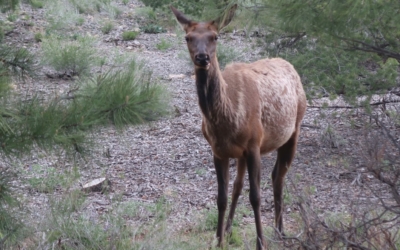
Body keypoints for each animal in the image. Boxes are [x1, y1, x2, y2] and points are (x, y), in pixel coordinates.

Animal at [172, 4, 306, 250]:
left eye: (215, 36)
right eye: (188, 37)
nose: (202, 57)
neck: (226, 121)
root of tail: (289, 65)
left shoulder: (254, 145)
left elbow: (255, 197)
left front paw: (260, 243)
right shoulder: (218, 151)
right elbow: (222, 197)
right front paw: (218, 239)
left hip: (294, 129)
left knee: (278, 177)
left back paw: (279, 231)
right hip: (243, 153)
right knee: (241, 184)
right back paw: (234, 228)